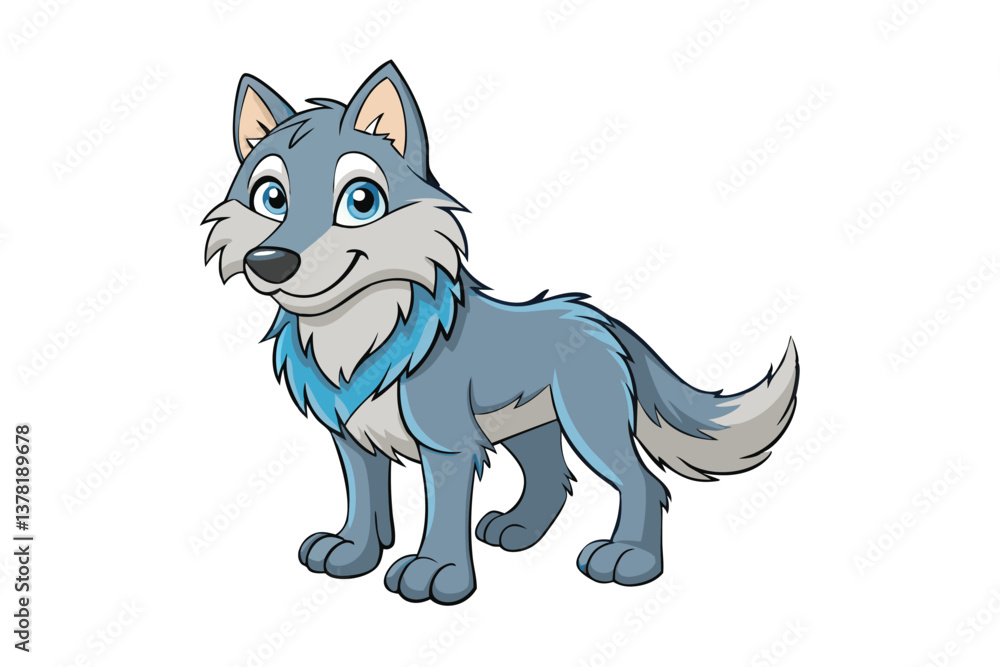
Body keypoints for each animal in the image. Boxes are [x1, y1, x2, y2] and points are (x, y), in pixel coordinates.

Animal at [203, 61, 799, 605]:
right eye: (271, 198)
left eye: (361, 201)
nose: (271, 261)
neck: (358, 333)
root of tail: (600, 319)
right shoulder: (352, 437)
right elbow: (364, 500)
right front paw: (352, 554)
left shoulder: (446, 444)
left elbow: (442, 514)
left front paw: (436, 574)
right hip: (527, 427)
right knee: (552, 479)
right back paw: (518, 531)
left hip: (589, 424)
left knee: (641, 482)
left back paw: (628, 560)